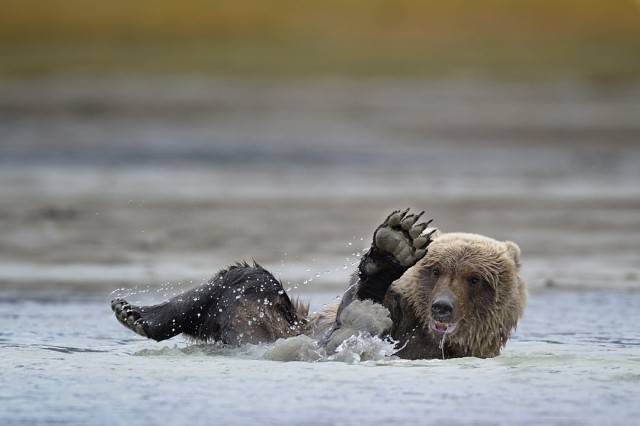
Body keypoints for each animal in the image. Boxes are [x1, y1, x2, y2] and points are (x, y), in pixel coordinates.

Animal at [112, 210, 528, 360]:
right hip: (272, 321)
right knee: (245, 280)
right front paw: (396, 244)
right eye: (435, 270)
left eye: (475, 279)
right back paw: (133, 312)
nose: (443, 306)